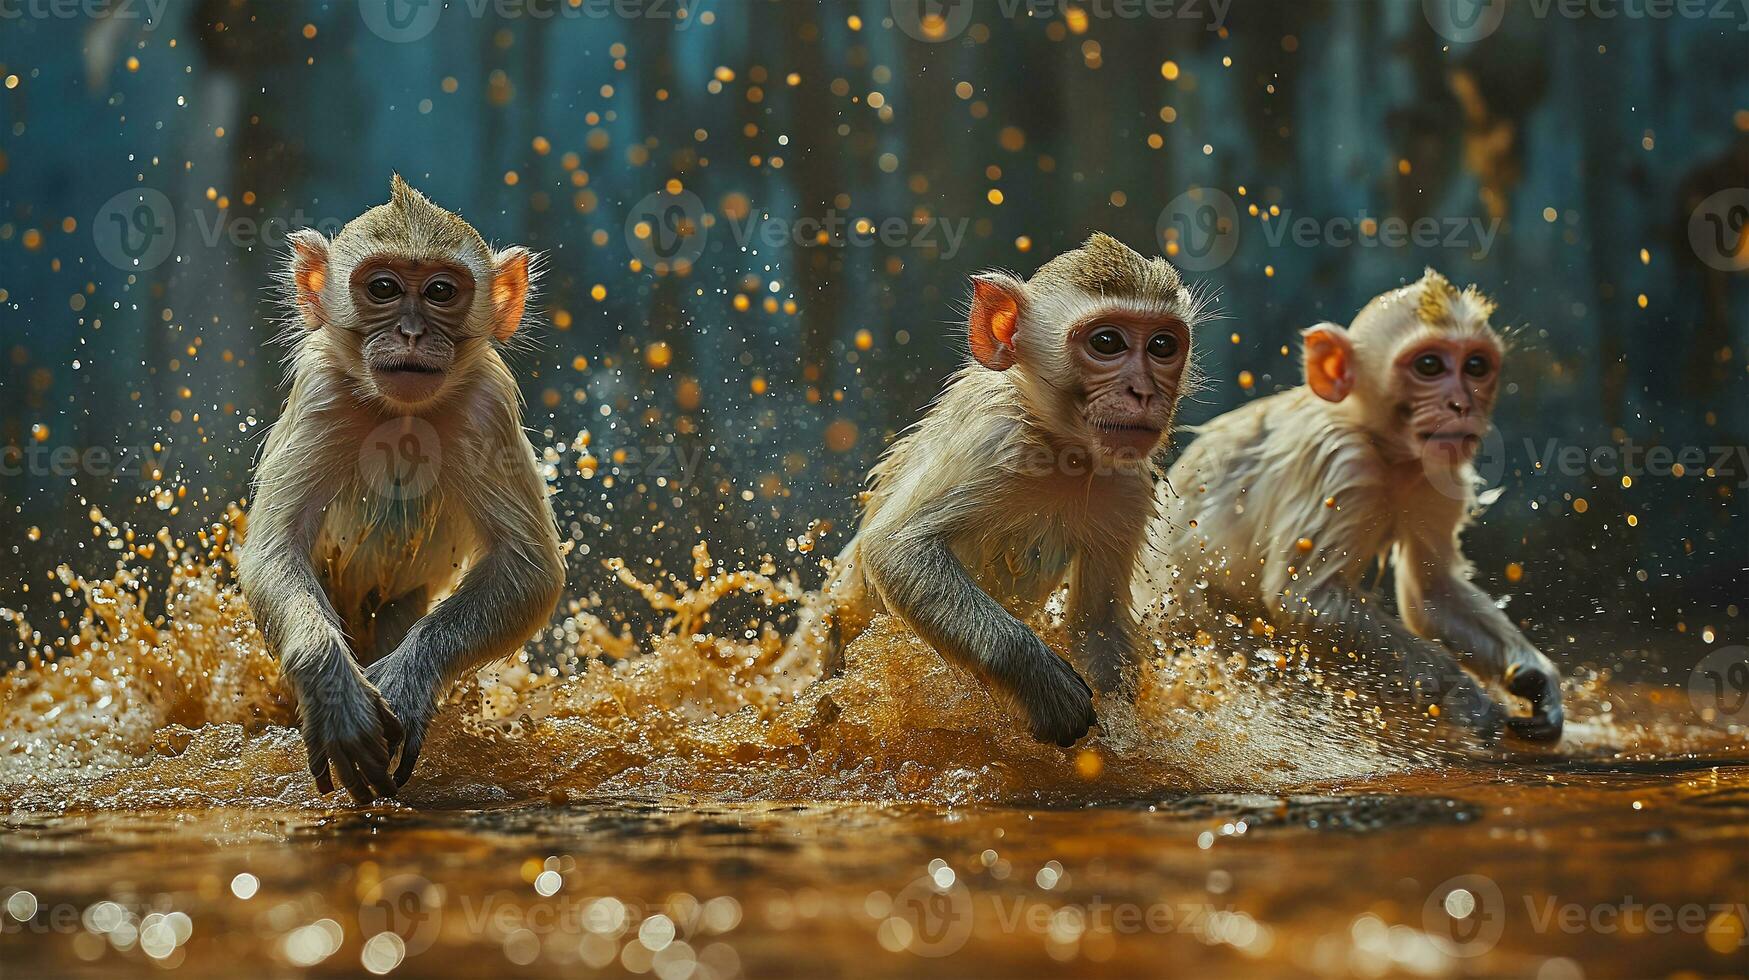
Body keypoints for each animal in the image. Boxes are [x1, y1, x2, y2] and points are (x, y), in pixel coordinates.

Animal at [239, 177, 563, 805]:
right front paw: (335, 694)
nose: (411, 332)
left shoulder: (485, 406)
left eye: (440, 292)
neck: (400, 414)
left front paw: (408, 681)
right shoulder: (321, 393)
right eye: (384, 288)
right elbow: (274, 550)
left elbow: (530, 570)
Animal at [780, 232, 1203, 745]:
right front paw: (1042, 684)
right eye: (1107, 342)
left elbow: (1097, 625)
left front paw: (1120, 733)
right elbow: (896, 548)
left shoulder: (1127, 485)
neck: (1063, 452)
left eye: (1162, 345)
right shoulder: (992, 440)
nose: (1143, 391)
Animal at [1140, 267, 1567, 742]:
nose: (1461, 405)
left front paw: (1535, 681)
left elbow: (1432, 596)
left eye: (1476, 366)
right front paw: (1467, 696)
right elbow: (1305, 599)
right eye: (1429, 366)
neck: (1384, 448)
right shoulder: (1339, 462)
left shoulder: (1437, 473)